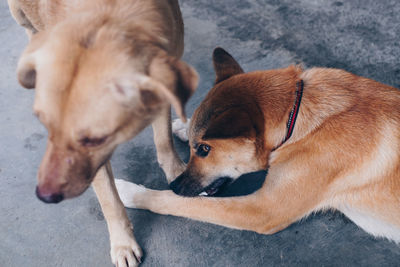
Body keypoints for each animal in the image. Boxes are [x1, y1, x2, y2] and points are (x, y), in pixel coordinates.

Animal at [8, 1, 198, 266]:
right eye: (49, 128)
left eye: (93, 139)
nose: (44, 196)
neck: (111, 17)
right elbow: (109, 198)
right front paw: (122, 242)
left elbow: (164, 141)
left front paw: (177, 172)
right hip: (17, 13)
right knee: (29, 30)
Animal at [115, 48, 400, 247]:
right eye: (198, 148)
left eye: (205, 150)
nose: (175, 184)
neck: (295, 115)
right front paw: (184, 127)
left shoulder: (263, 210)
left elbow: (180, 203)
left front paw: (130, 192)